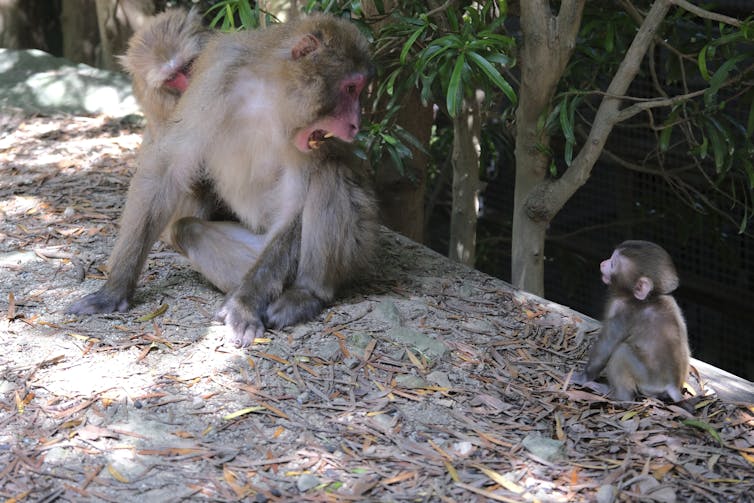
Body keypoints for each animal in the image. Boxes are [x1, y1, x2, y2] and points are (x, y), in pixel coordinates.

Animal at [67, 14, 379, 349]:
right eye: (350, 88)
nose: (356, 124)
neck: (271, 91)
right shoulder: (216, 79)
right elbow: (169, 168)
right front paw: (115, 288)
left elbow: (297, 202)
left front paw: (243, 306)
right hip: (255, 244)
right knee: (188, 230)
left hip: (358, 247)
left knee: (329, 174)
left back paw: (305, 293)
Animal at [572, 240, 690, 402]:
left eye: (613, 263)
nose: (603, 263)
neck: (649, 298)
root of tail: (671, 385)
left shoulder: (623, 312)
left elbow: (605, 348)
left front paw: (583, 377)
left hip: (648, 379)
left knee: (621, 352)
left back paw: (618, 395)